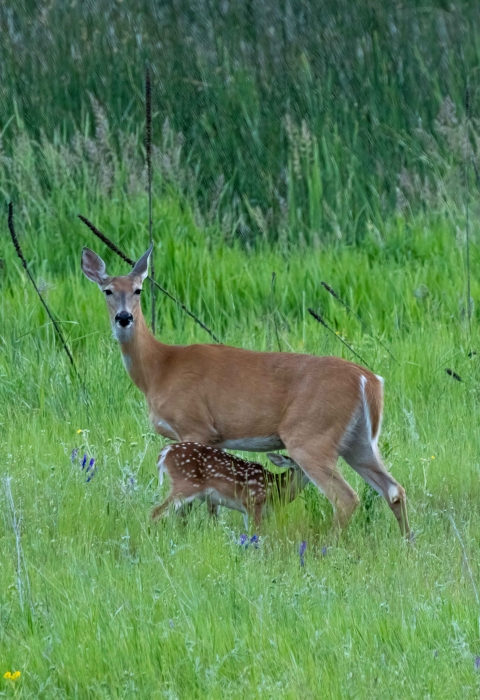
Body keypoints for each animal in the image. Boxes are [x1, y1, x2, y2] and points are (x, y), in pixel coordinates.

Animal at [152, 442, 310, 528]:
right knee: (156, 512)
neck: (275, 487)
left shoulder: (249, 511)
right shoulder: (253, 502)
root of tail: (166, 451)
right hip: (185, 484)